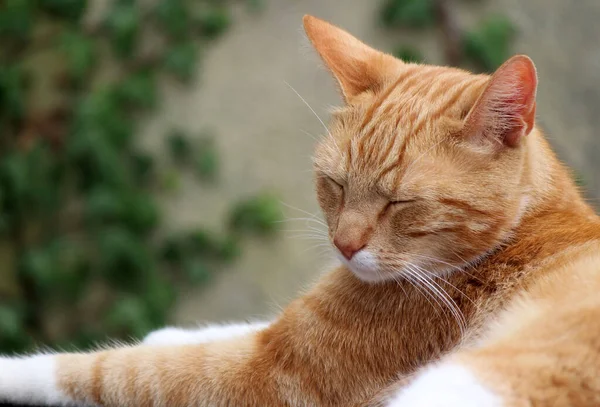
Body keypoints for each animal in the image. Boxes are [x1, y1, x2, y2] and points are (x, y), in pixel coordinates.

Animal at [1, 15, 600, 407]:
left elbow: (109, 370)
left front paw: (13, 370)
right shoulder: (276, 335)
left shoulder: (272, 373)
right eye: (334, 184)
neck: (522, 230)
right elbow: (223, 331)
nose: (344, 246)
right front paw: (164, 334)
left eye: (401, 202)